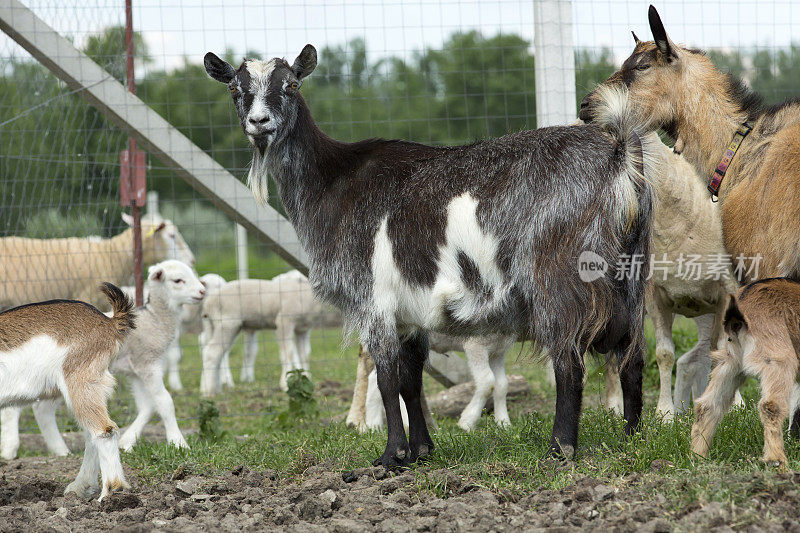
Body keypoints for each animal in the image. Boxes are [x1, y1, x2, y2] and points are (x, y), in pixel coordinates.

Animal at [0, 214, 195, 460]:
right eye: (178, 280)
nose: (201, 292)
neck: (154, 317)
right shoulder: (147, 365)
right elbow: (164, 401)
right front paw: (179, 443)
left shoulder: (137, 371)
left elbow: (148, 406)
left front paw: (129, 442)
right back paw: (12, 449)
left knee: (41, 408)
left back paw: (59, 451)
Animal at [198, 270, 342, 394]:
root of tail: (208, 303)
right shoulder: (284, 322)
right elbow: (288, 353)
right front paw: (285, 384)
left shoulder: (303, 330)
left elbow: (305, 355)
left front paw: (307, 380)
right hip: (227, 324)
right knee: (212, 353)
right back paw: (210, 391)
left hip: (214, 326)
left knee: (211, 352)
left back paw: (211, 387)